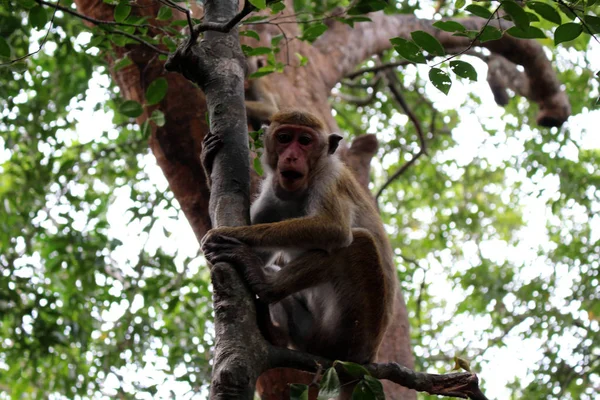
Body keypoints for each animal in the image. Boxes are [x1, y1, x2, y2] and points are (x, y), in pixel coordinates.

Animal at [202, 109, 398, 384]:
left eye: (305, 141)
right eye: (284, 138)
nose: (292, 156)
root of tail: (369, 357)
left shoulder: (329, 180)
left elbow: (334, 229)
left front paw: (230, 233)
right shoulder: (271, 196)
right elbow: (263, 253)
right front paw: (209, 163)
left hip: (350, 332)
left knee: (359, 242)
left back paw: (266, 284)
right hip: (307, 332)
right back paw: (274, 334)